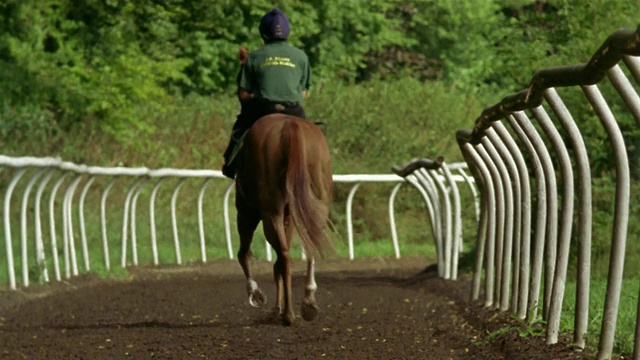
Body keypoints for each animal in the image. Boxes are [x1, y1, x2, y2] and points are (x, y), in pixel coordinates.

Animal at [235, 113, 336, 326]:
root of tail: (290, 125)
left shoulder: (246, 211)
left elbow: (244, 254)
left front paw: (256, 294)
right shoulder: (290, 216)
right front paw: (277, 309)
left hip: (270, 212)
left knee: (284, 257)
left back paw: (289, 314)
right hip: (318, 201)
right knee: (309, 247)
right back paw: (308, 302)